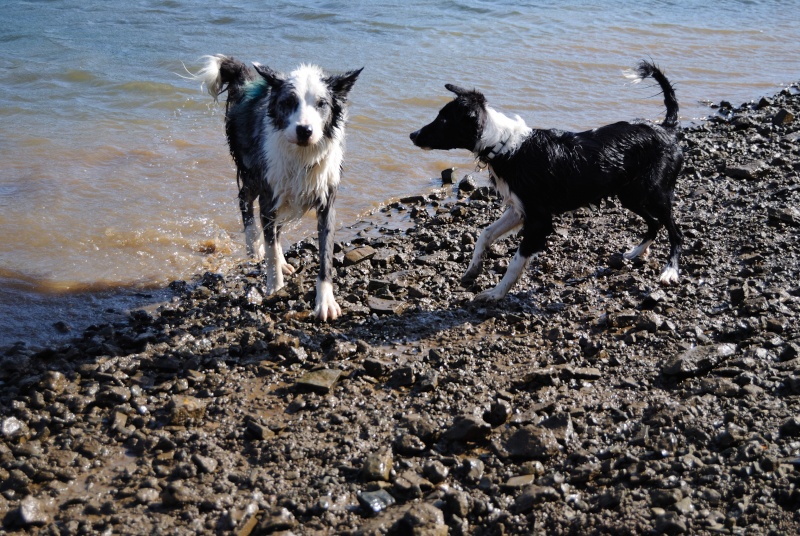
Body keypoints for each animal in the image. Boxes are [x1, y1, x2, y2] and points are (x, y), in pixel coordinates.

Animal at [192, 56, 360, 320]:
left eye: (321, 103)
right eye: (288, 102)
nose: (305, 130)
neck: (301, 156)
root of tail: (247, 79)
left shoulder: (326, 203)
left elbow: (325, 256)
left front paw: (325, 302)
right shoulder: (268, 198)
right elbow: (270, 248)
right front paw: (275, 286)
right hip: (253, 175)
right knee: (244, 201)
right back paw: (254, 246)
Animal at [412, 60, 680, 302]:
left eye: (443, 120)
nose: (412, 135)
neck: (504, 145)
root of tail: (666, 128)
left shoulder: (539, 220)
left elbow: (515, 261)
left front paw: (496, 294)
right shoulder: (519, 209)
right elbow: (485, 234)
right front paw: (473, 270)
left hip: (654, 193)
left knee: (674, 231)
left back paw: (670, 271)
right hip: (631, 194)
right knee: (655, 223)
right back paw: (635, 253)